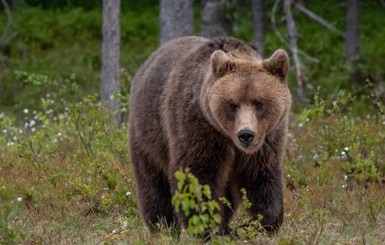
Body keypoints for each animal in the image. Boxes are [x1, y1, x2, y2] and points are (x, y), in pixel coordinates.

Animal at [129, 36, 292, 235]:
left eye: (259, 103)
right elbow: (196, 175)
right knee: (153, 184)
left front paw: (252, 226)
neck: (229, 138)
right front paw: (205, 226)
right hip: (149, 134)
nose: (246, 134)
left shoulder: (266, 141)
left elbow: (261, 177)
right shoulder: (199, 128)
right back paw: (163, 227)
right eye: (232, 104)